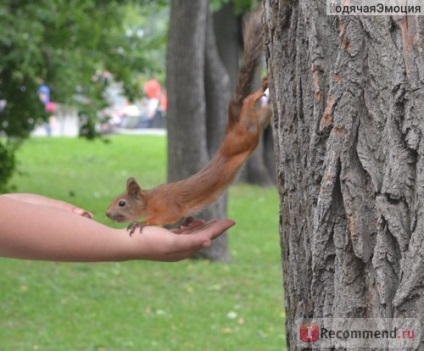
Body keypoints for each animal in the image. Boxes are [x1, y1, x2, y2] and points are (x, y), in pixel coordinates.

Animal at [105, 9, 270, 234]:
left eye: (122, 203)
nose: (107, 213)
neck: (150, 200)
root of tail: (231, 124)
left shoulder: (167, 206)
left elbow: (165, 217)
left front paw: (141, 222)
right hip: (252, 126)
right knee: (259, 113)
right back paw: (267, 105)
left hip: (244, 137)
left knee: (248, 106)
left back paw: (258, 93)